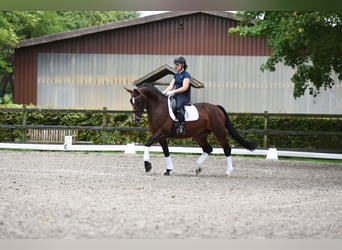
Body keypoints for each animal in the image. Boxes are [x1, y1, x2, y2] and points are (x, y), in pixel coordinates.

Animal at [124, 84, 255, 176]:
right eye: (131, 101)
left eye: (139, 100)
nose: (136, 119)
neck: (158, 107)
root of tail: (216, 107)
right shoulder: (161, 136)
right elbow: (166, 152)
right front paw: (168, 170)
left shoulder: (161, 132)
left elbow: (147, 143)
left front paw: (147, 166)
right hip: (199, 135)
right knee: (208, 149)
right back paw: (198, 168)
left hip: (219, 132)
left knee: (226, 148)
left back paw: (228, 171)